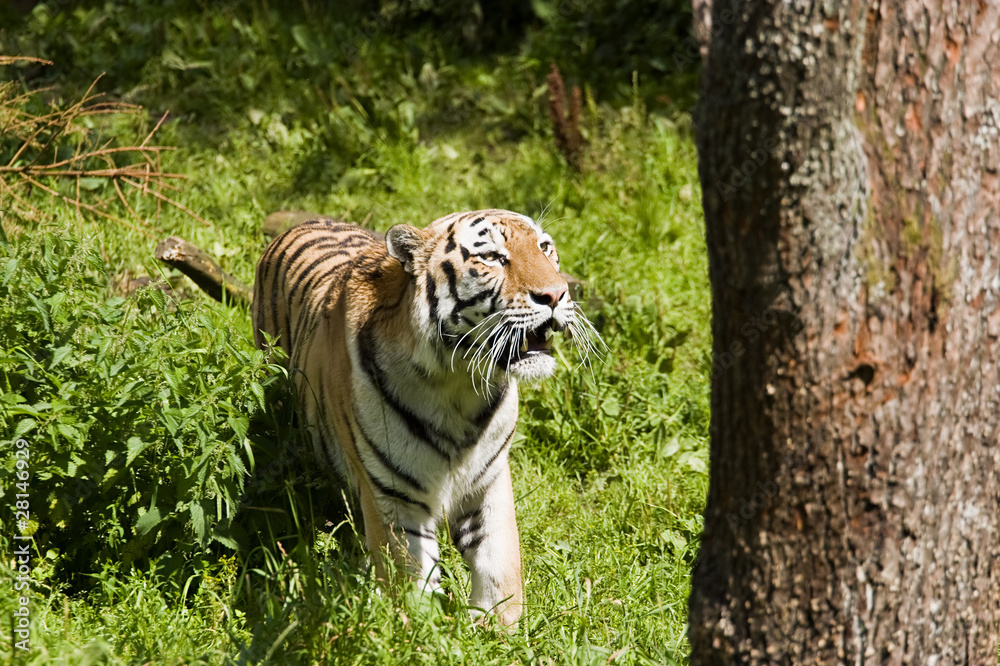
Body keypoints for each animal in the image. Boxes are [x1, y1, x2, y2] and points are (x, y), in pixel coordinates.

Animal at [251, 208, 595, 626]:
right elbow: (411, 581)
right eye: (493, 257)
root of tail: (302, 222)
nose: (557, 294)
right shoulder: (393, 495)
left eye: (545, 248)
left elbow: (500, 563)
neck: (457, 386)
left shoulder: (490, 480)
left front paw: (499, 628)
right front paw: (423, 631)